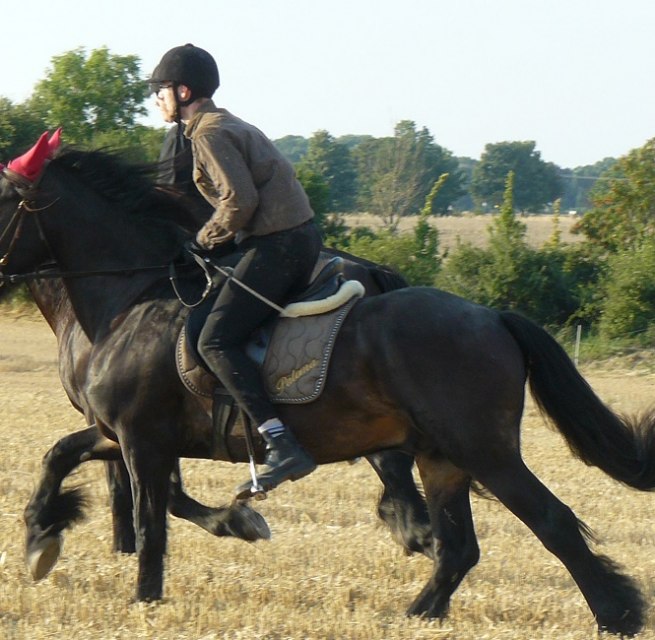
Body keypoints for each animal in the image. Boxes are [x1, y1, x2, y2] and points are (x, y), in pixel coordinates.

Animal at [1, 140, 655, 636]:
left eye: (3, 200)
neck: (131, 297)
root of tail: (492, 316)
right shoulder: (123, 434)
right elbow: (61, 455)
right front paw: (40, 535)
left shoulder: (142, 439)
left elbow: (152, 520)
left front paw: (146, 597)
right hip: (442, 456)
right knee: (458, 546)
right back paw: (418, 610)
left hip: (483, 451)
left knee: (551, 522)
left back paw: (616, 613)